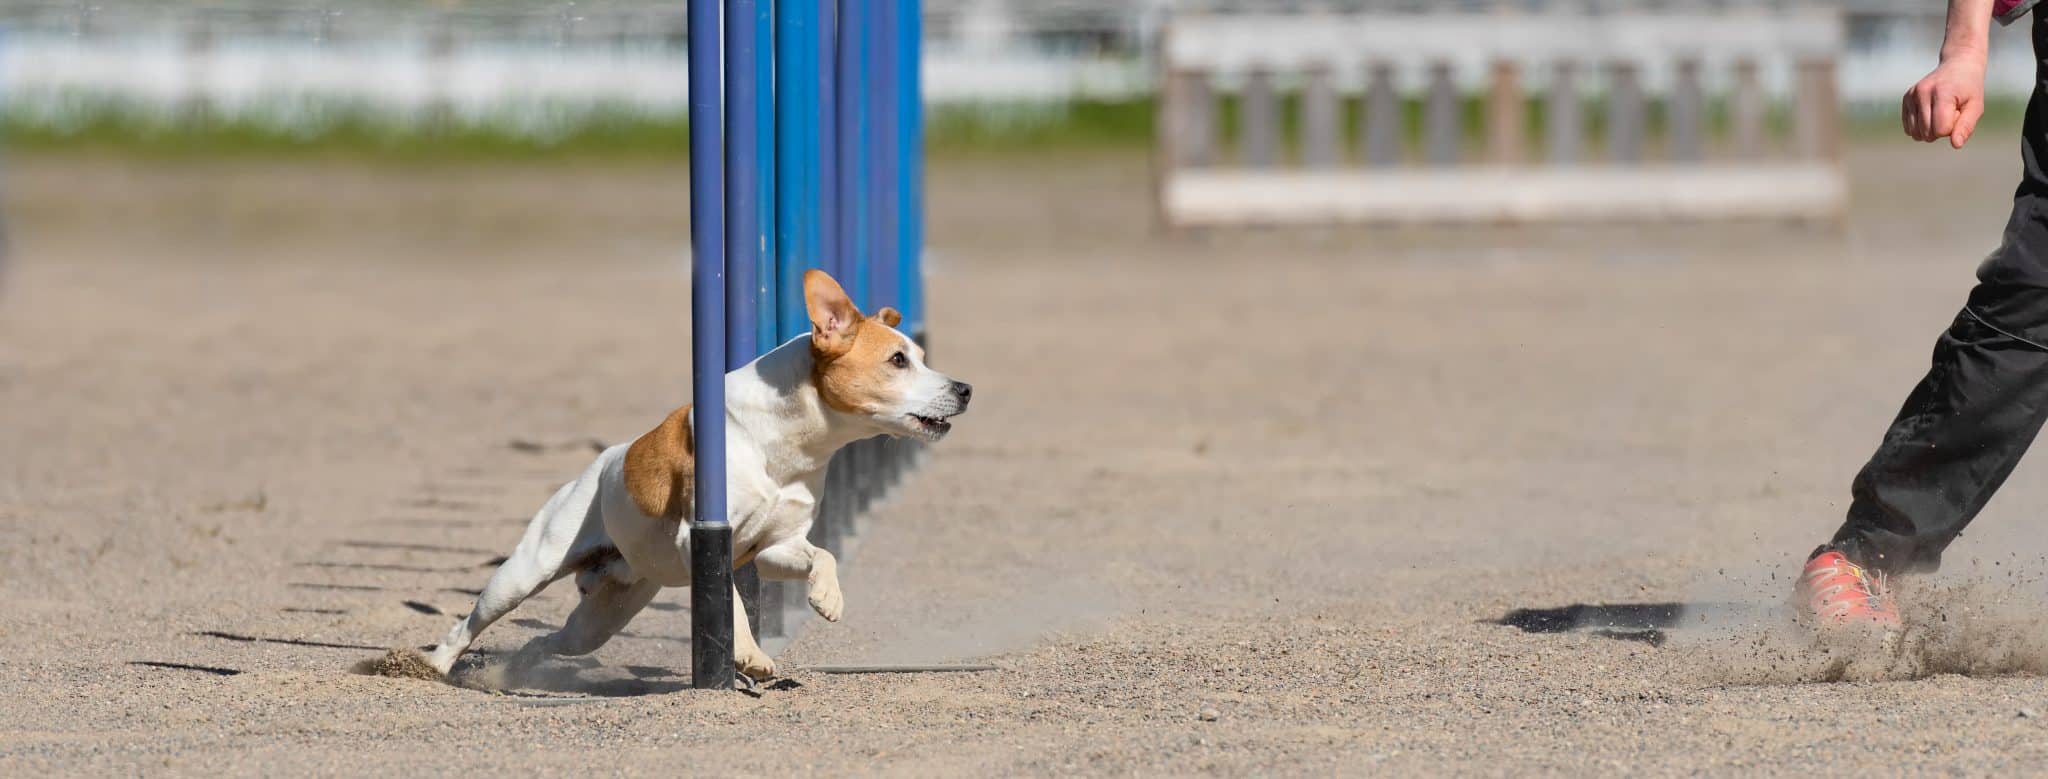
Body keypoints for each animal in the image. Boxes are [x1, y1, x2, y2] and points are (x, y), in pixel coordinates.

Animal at [421, 270, 966, 680]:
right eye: (897, 360)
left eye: (919, 357)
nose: (965, 389)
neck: (791, 443)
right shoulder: (698, 536)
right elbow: (731, 599)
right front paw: (750, 656)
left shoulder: (776, 547)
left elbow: (822, 555)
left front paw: (827, 597)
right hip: (526, 572)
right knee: (470, 622)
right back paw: (435, 666)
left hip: (604, 616)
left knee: (553, 640)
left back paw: (513, 671)